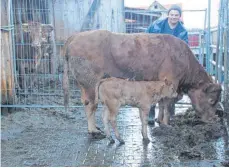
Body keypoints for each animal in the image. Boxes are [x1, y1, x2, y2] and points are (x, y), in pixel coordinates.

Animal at [63, 29, 222, 138]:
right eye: (211, 100)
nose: (213, 119)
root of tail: (76, 36)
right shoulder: (171, 80)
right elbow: (168, 104)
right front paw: (166, 124)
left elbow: (162, 103)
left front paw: (159, 120)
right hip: (90, 82)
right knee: (90, 105)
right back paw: (94, 130)